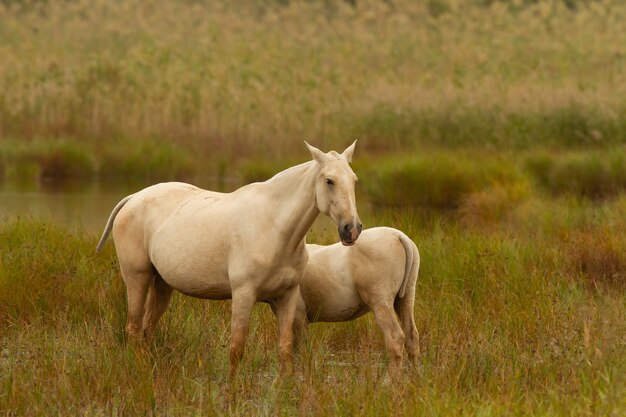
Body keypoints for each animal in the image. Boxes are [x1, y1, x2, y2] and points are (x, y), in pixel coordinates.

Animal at [95, 142, 364, 374]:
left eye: (354, 180)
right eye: (329, 181)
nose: (351, 229)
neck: (273, 226)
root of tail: (133, 198)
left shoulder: (287, 297)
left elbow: (285, 349)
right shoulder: (243, 295)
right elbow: (237, 349)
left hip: (162, 284)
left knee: (147, 330)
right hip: (137, 278)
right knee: (133, 329)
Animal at [290, 228, 416, 374]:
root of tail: (397, 235)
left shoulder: (298, 313)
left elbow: (299, 350)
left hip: (380, 300)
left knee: (395, 338)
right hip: (406, 296)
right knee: (411, 336)